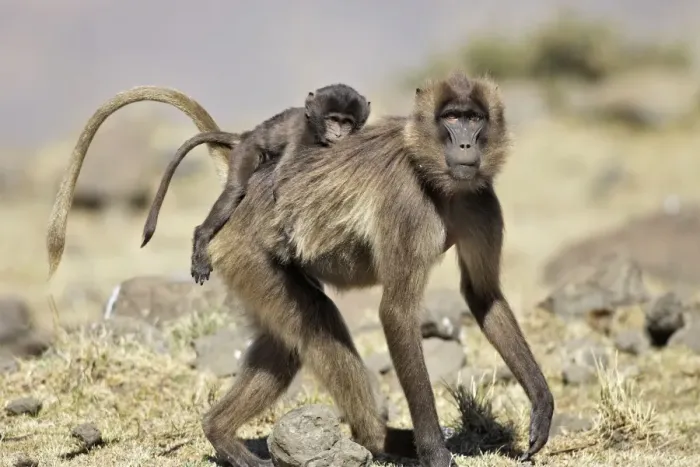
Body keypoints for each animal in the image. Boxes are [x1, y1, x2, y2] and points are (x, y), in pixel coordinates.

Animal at [140, 83, 371, 287]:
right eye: (333, 120)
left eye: (347, 123)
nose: (339, 134)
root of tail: (247, 134)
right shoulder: (302, 138)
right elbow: (281, 182)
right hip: (246, 151)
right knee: (235, 191)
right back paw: (202, 236)